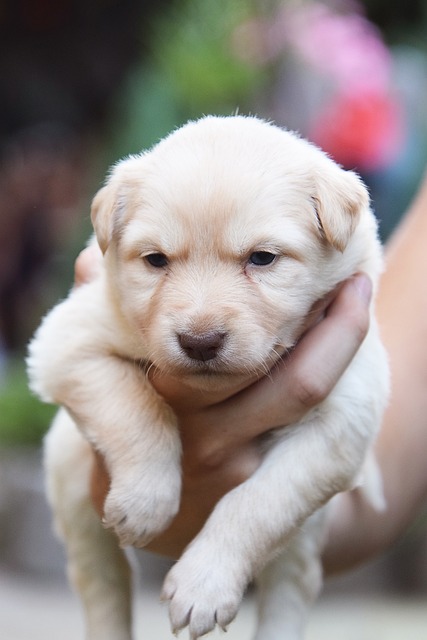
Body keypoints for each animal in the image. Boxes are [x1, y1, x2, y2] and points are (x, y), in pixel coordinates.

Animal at [25, 116, 388, 640]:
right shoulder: (68, 341)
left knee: (289, 588)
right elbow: (139, 408)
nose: (199, 342)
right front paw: (147, 499)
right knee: (103, 579)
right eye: (156, 260)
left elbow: (259, 502)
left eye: (262, 258)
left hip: (305, 540)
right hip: (70, 478)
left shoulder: (342, 423)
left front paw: (204, 585)